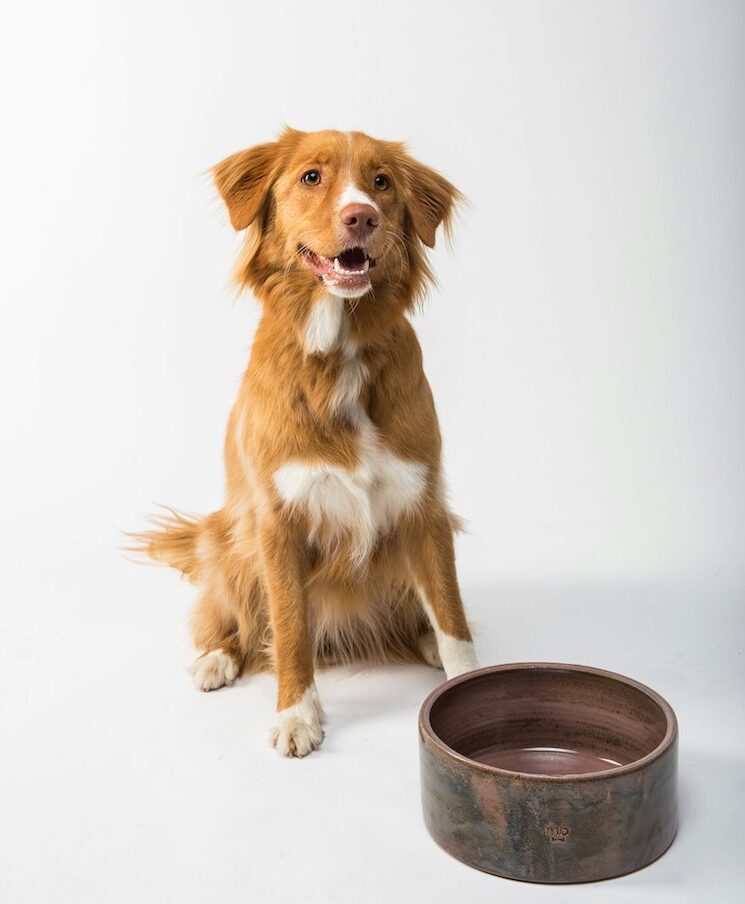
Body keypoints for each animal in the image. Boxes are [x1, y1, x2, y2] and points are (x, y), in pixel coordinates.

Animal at [137, 129, 480, 756]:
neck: (339, 352)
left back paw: (419, 641)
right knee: (237, 622)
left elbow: (452, 616)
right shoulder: (279, 523)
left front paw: (467, 680)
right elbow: (291, 628)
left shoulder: (424, 506)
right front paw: (296, 715)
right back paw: (216, 659)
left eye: (381, 182)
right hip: (229, 541)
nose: (361, 217)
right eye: (311, 177)